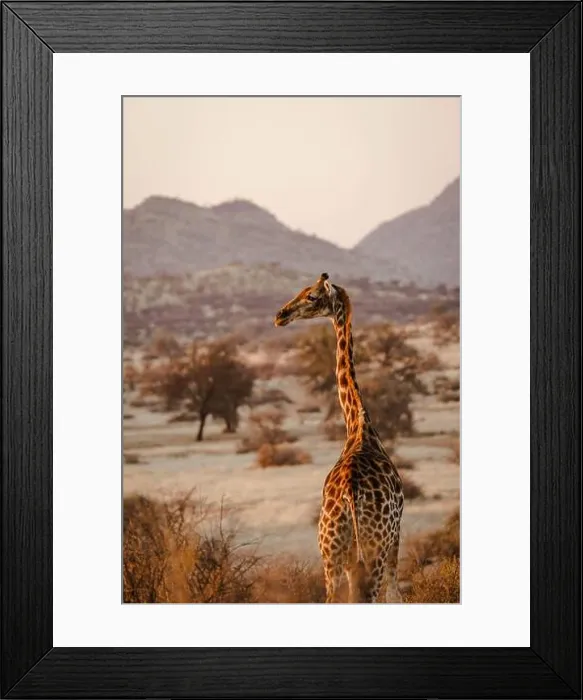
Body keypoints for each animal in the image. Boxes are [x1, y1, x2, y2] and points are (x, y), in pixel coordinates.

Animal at [274, 273, 404, 603]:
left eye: (311, 295)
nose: (280, 315)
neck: (358, 424)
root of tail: (350, 496)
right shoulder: (395, 536)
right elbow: (395, 596)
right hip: (371, 550)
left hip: (333, 553)